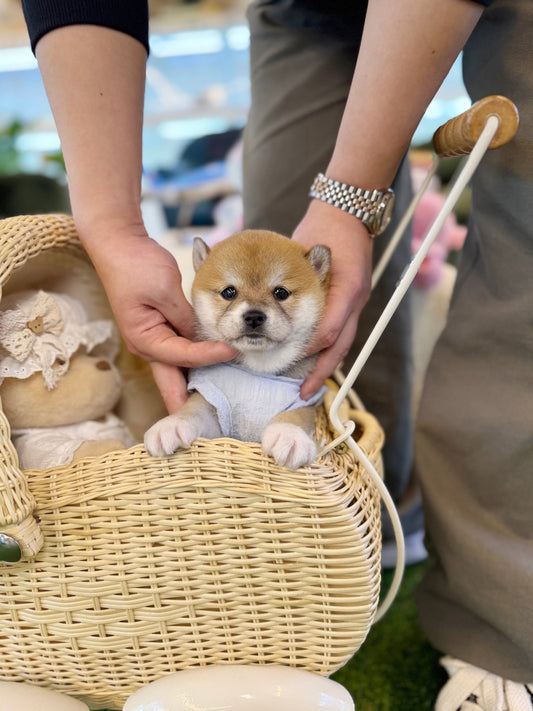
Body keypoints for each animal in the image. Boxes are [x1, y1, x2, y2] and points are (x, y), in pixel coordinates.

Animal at [143, 231, 330, 470]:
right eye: (229, 292)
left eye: (281, 292)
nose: (254, 316)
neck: (257, 369)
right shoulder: (212, 405)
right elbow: (191, 410)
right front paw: (171, 424)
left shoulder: (305, 398)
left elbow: (295, 416)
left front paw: (289, 435)